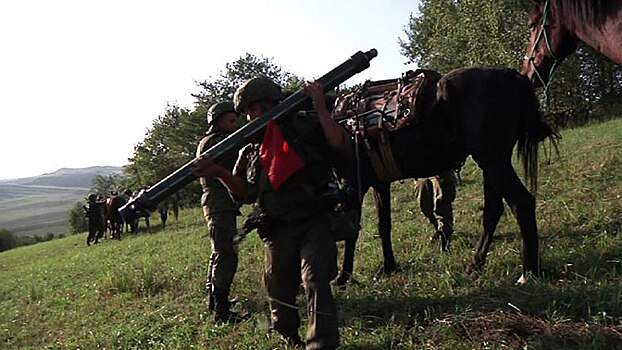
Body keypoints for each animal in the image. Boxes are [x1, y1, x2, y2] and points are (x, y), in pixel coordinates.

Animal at [336, 67, 560, 286]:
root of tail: (512, 76)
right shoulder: (379, 184)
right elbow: (384, 225)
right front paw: (389, 266)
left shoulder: (354, 185)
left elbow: (352, 232)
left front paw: (343, 276)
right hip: (493, 166)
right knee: (493, 211)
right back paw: (477, 264)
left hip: (494, 162)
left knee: (521, 203)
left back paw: (529, 272)